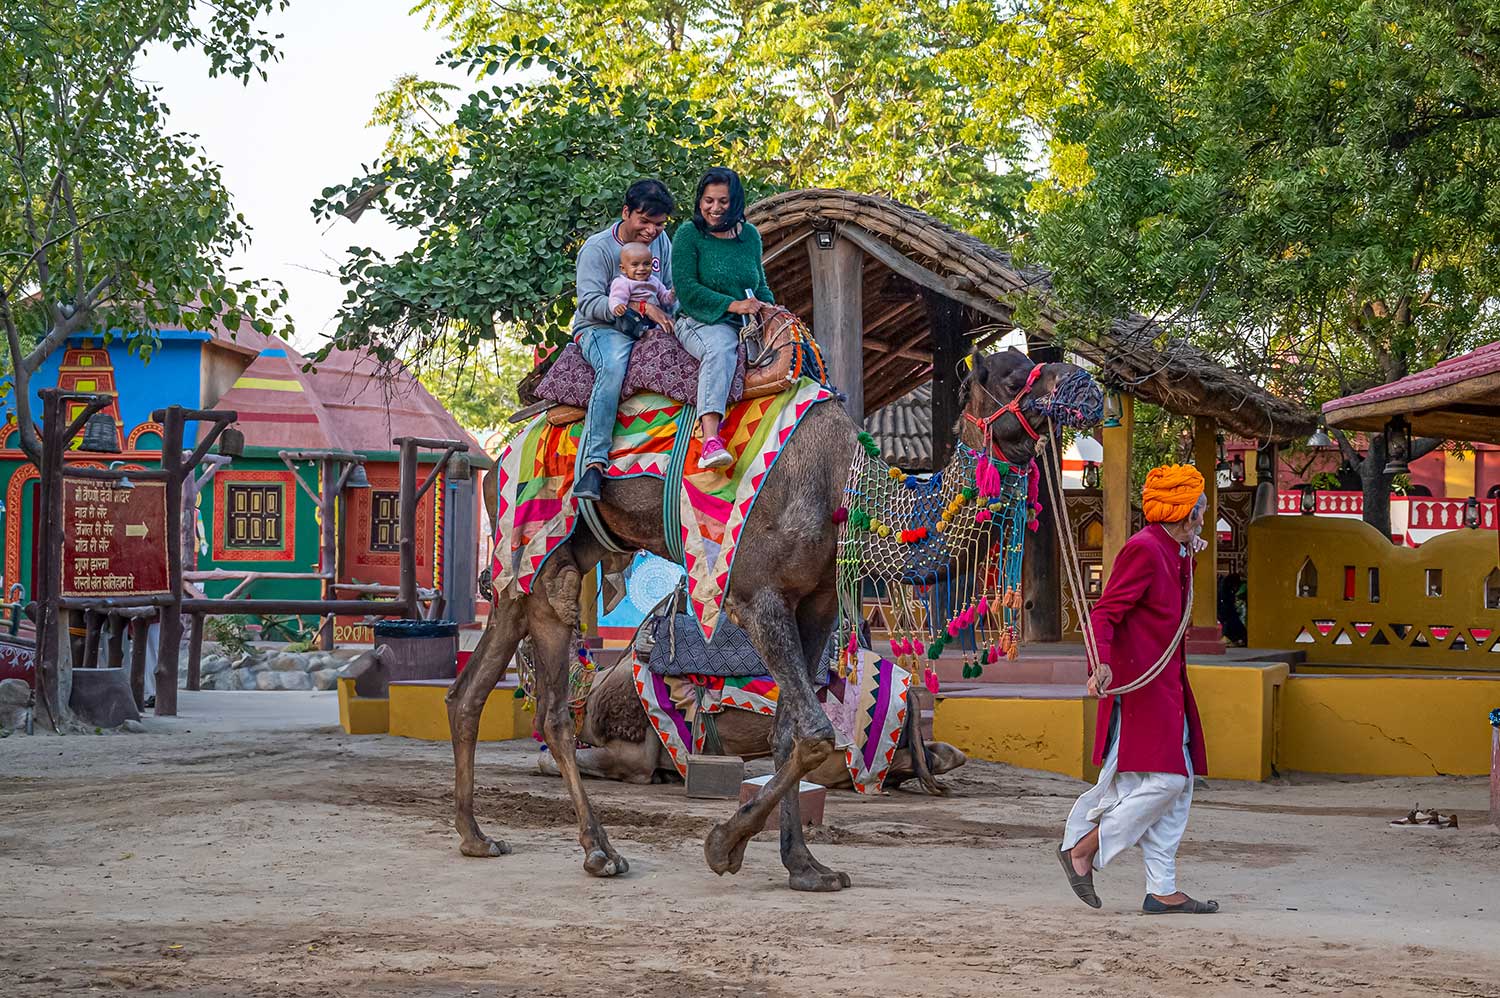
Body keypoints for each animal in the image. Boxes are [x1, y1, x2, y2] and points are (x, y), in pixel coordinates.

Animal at [447, 345, 1104, 888]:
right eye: (1012, 375)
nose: (1086, 384)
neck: (848, 486)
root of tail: (501, 452)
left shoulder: (814, 604)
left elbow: (791, 733)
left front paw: (806, 867)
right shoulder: (754, 595)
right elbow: (815, 733)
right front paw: (723, 846)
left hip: (536, 568)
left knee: (469, 691)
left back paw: (478, 838)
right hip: (538, 549)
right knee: (554, 710)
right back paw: (600, 853)